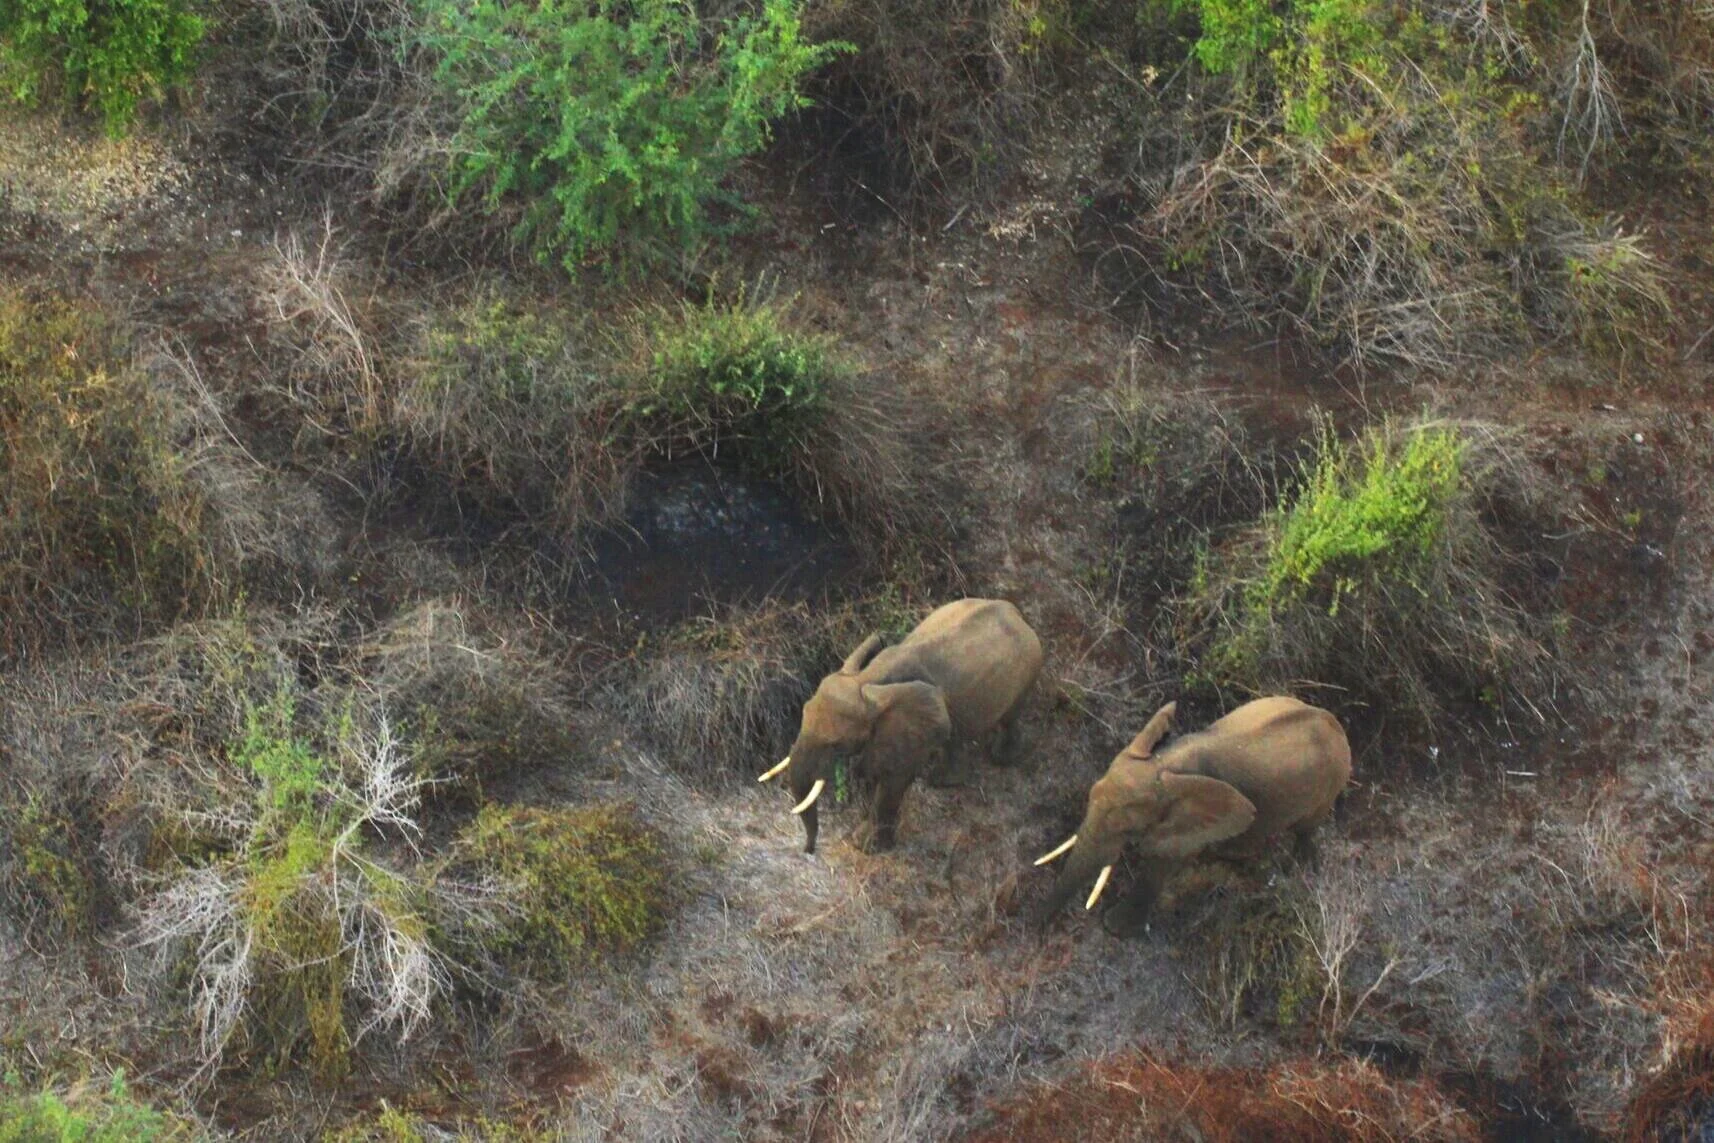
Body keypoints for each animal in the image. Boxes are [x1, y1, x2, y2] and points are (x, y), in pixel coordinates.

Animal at [758, 598, 1044, 854]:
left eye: (836, 744)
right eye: (803, 713)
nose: (809, 850)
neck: (867, 678)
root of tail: (1014, 611)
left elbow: (893, 780)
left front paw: (864, 847)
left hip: (1028, 670)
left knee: (1009, 717)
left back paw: (1001, 758)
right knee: (953, 734)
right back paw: (943, 781)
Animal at [1032, 695, 1351, 935]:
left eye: (1129, 829)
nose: (1038, 927)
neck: (1165, 762)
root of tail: (1335, 722)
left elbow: (1163, 862)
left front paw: (1113, 927)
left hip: (1331, 782)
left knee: (1306, 829)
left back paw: (1298, 871)